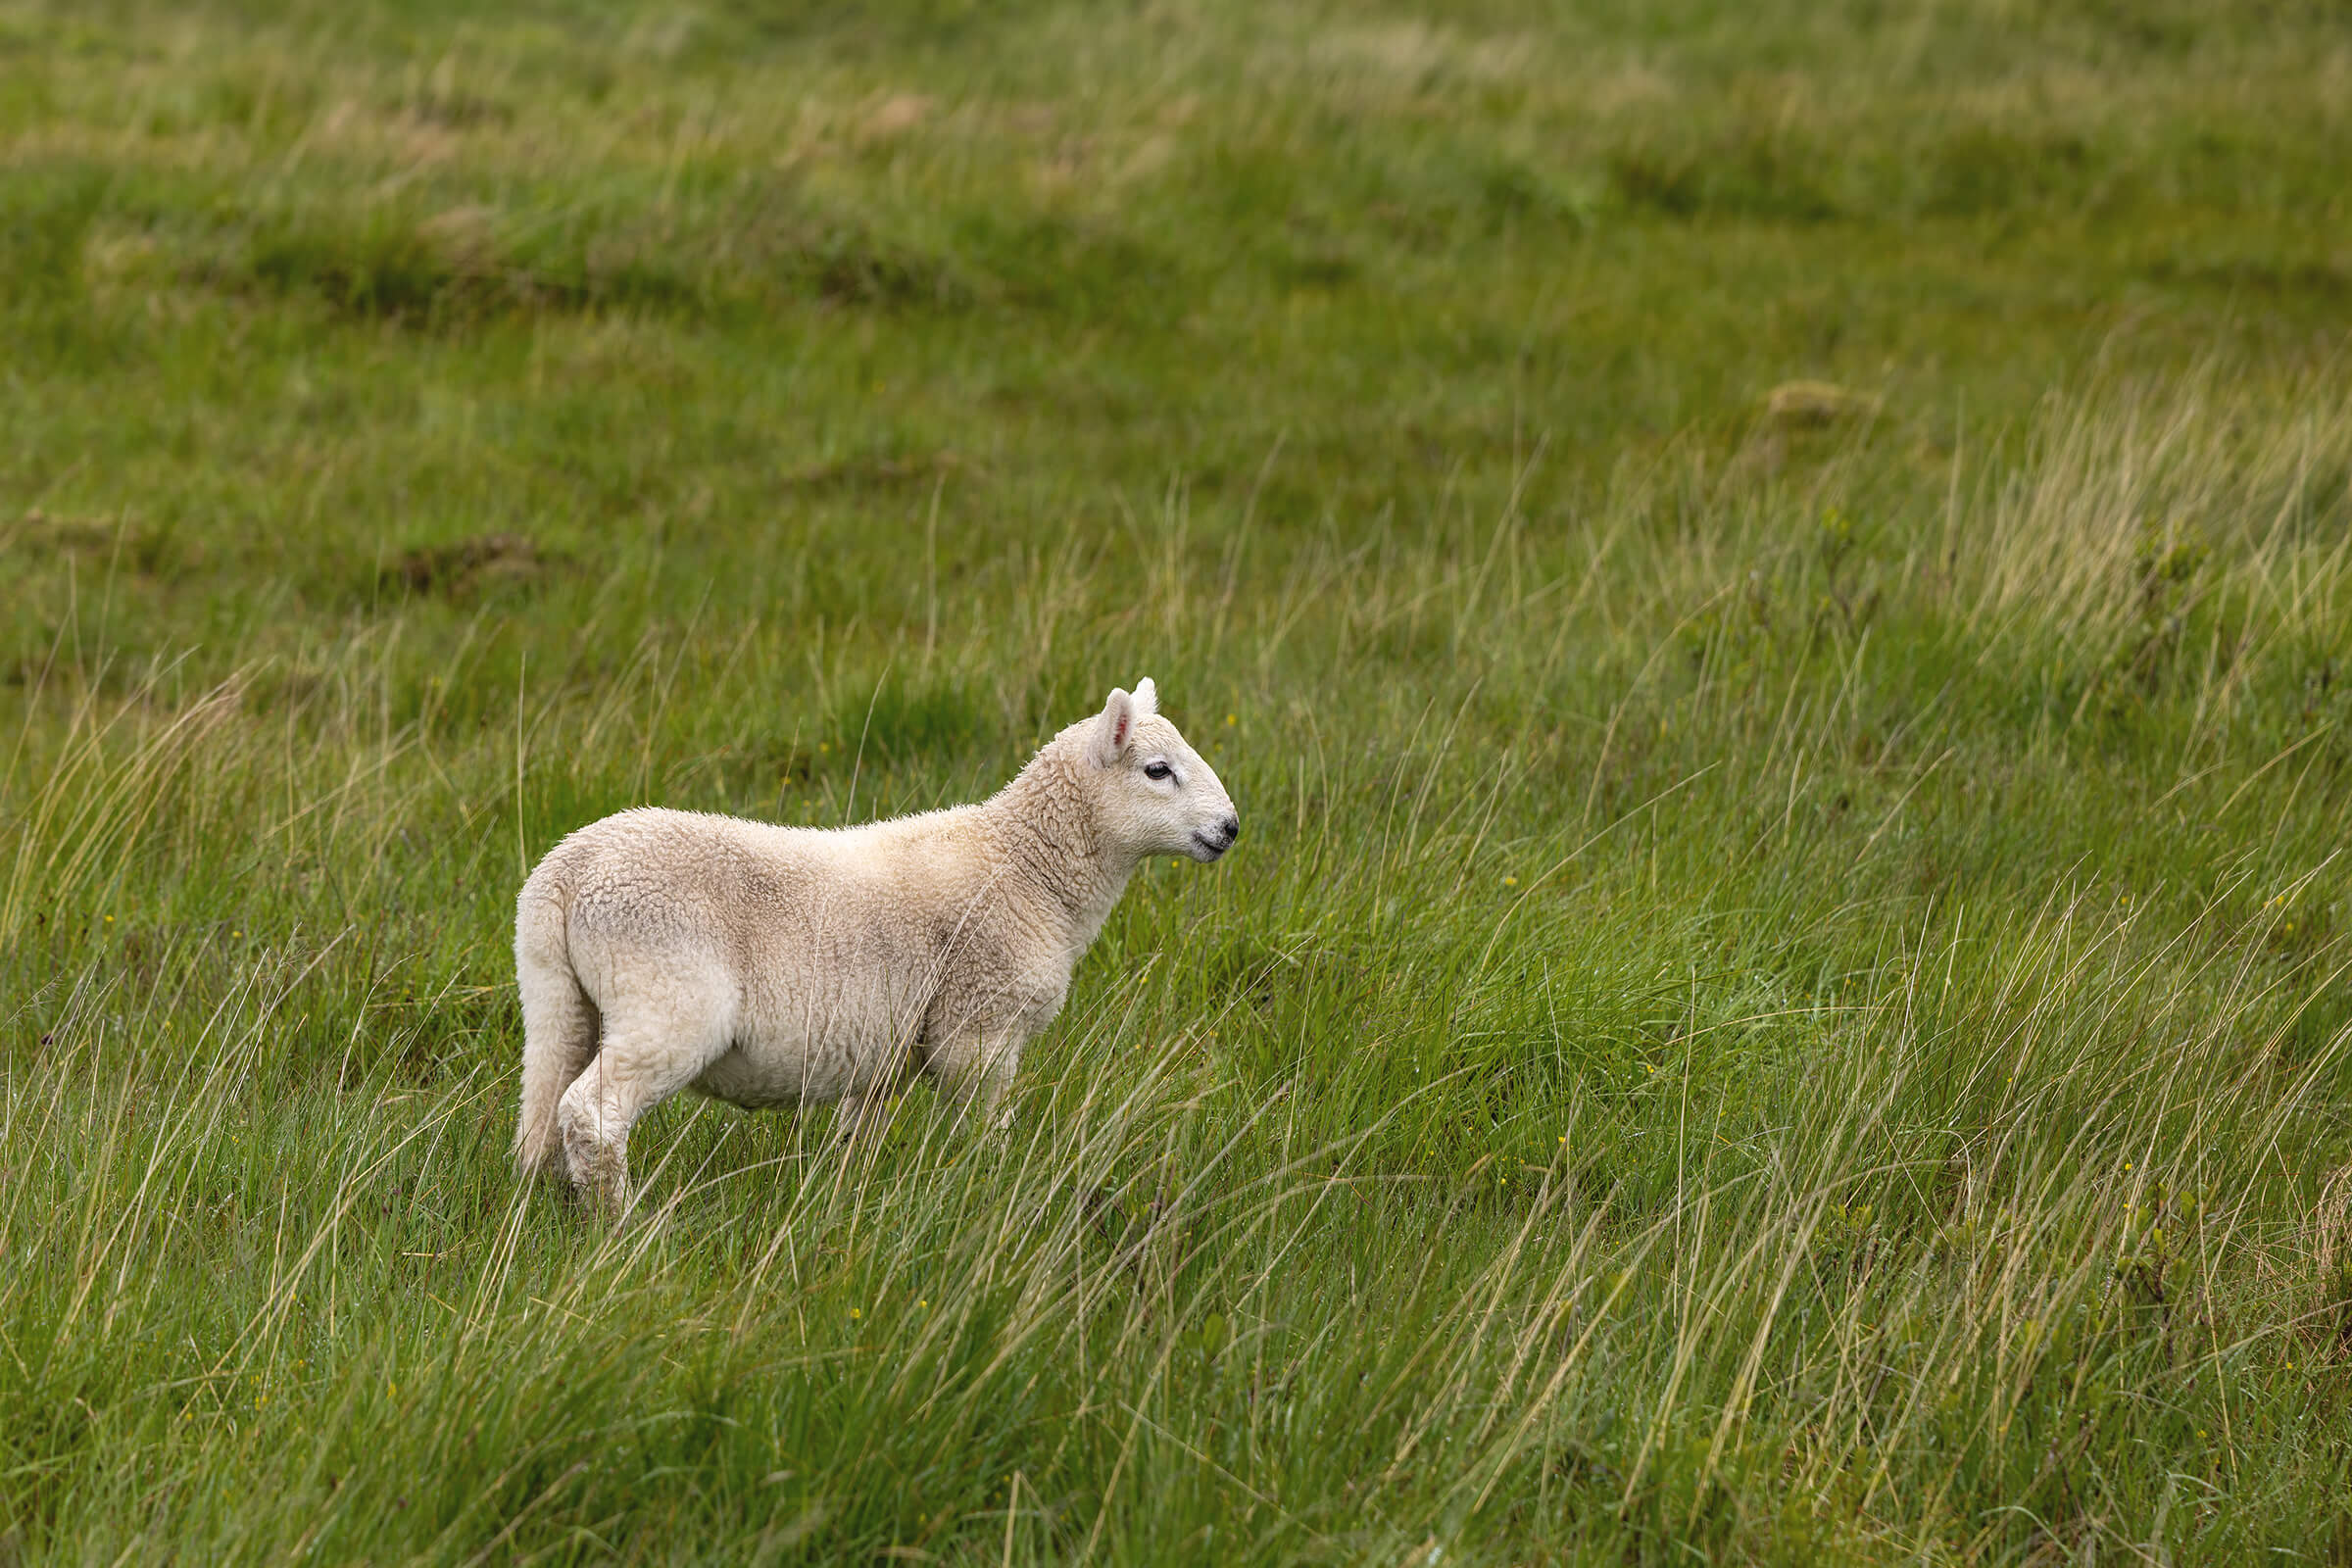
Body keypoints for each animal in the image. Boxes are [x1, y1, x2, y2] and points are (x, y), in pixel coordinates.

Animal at [511, 678, 1240, 1217]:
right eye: (1157, 770)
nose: (1231, 827)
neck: (1028, 867)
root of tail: (565, 873)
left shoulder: (878, 1046)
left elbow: (855, 1137)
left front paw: (844, 1202)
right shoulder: (979, 1026)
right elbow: (987, 1128)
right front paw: (994, 1190)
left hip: (556, 996)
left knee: (543, 1112)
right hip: (666, 993)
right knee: (593, 1114)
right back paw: (621, 1224)